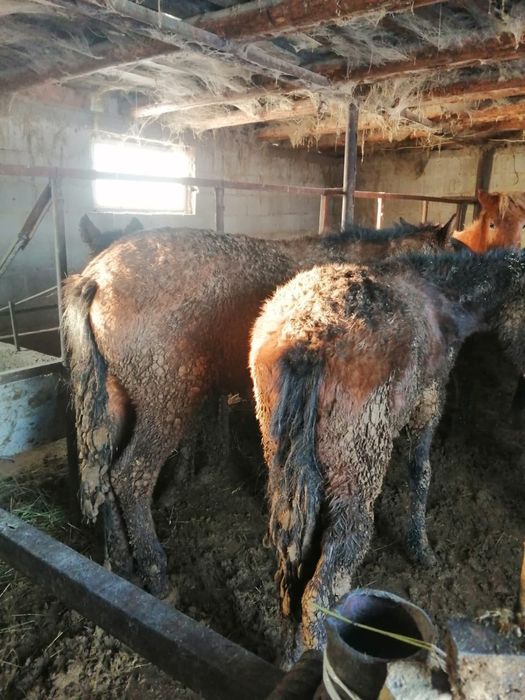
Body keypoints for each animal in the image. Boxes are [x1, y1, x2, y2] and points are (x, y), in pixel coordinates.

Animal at [63, 218, 455, 597]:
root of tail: (95, 279)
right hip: (165, 401)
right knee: (130, 476)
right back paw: (155, 572)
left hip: (114, 402)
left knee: (103, 474)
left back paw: (120, 561)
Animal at [249, 248, 525, 658]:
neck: (444, 295)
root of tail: (307, 338)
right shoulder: (429, 398)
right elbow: (421, 471)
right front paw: (422, 550)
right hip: (356, 471)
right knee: (322, 587)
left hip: (288, 465)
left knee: (294, 571)